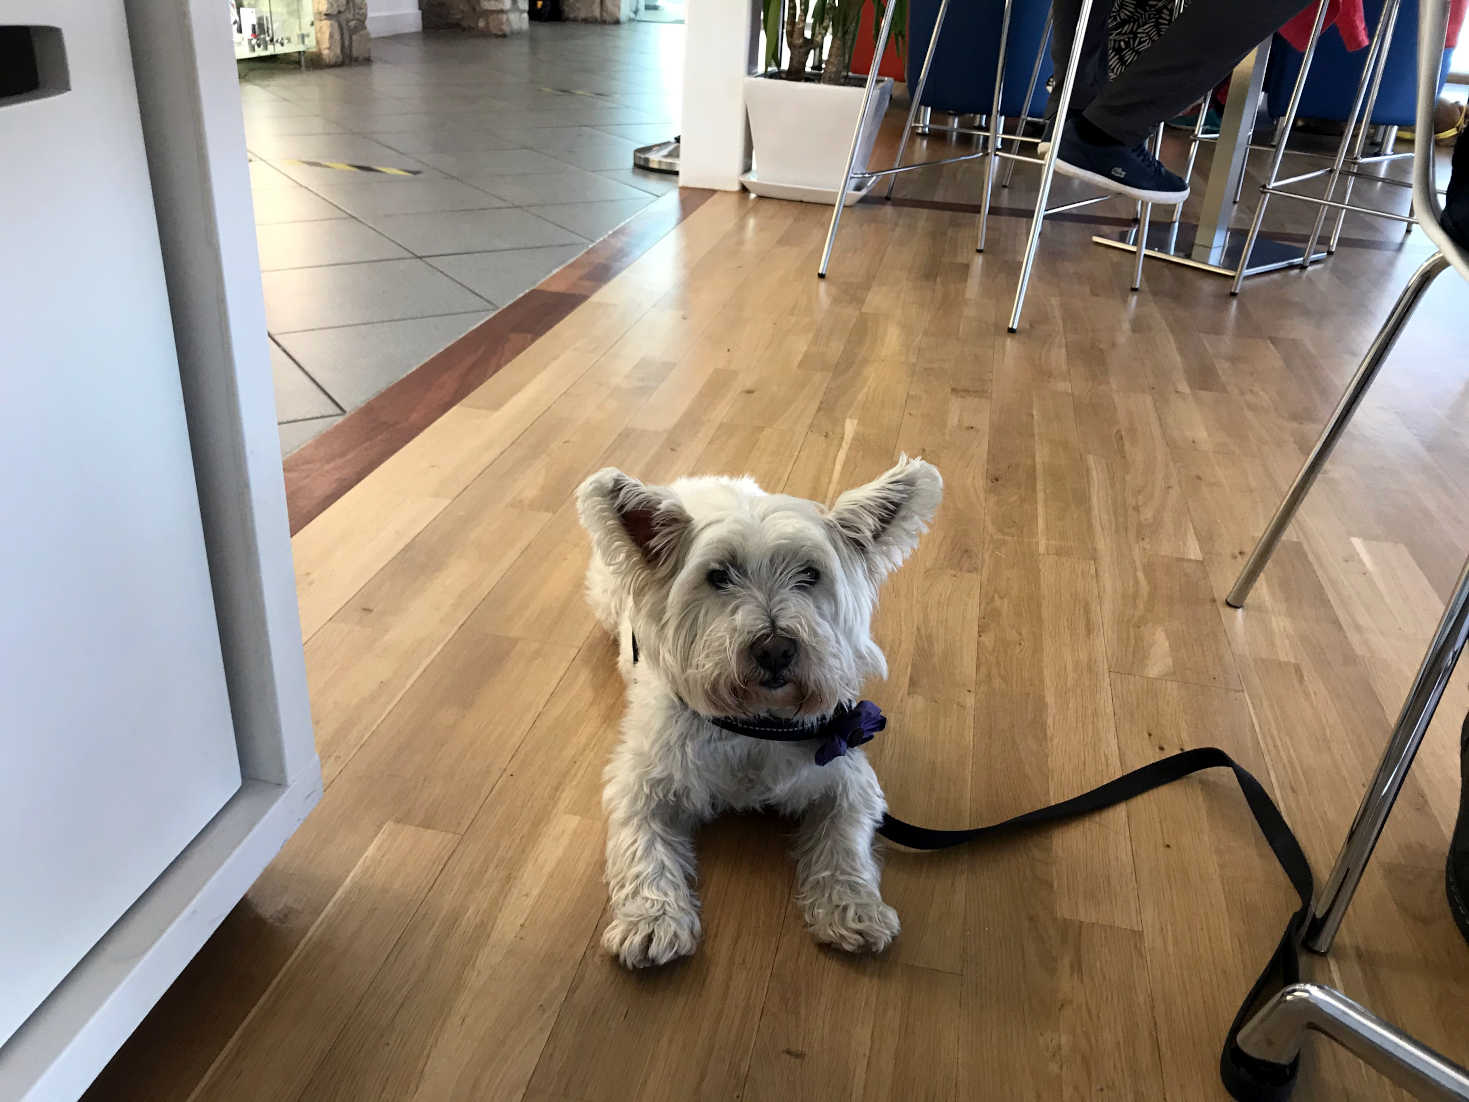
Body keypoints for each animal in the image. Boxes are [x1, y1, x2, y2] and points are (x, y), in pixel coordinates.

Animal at [572, 455, 940, 963]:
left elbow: (845, 841)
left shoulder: (845, 776)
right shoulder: (641, 782)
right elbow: (642, 849)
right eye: (718, 576)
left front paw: (852, 909)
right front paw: (651, 921)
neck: (754, 724)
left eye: (810, 574)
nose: (775, 650)